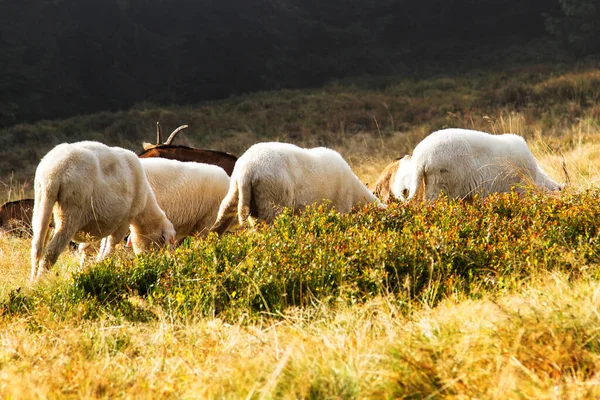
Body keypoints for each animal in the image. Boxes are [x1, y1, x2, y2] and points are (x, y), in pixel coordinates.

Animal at [29, 141, 176, 282]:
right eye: (161, 242)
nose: (152, 263)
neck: (145, 205)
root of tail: (55, 171)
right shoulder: (124, 220)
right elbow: (110, 246)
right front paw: (104, 267)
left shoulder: (110, 222)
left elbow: (97, 248)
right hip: (71, 209)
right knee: (51, 251)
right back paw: (41, 281)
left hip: (42, 200)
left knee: (37, 247)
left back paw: (32, 281)